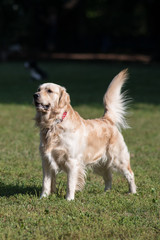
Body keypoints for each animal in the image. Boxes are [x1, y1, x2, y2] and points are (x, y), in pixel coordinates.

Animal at [33, 69, 136, 201]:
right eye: (38, 89)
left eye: (49, 91)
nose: (35, 95)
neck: (54, 124)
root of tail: (106, 119)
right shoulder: (46, 161)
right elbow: (46, 182)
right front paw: (43, 197)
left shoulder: (72, 161)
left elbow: (70, 183)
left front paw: (69, 199)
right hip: (100, 163)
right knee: (109, 176)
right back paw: (106, 192)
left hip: (119, 159)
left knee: (130, 174)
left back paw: (132, 192)